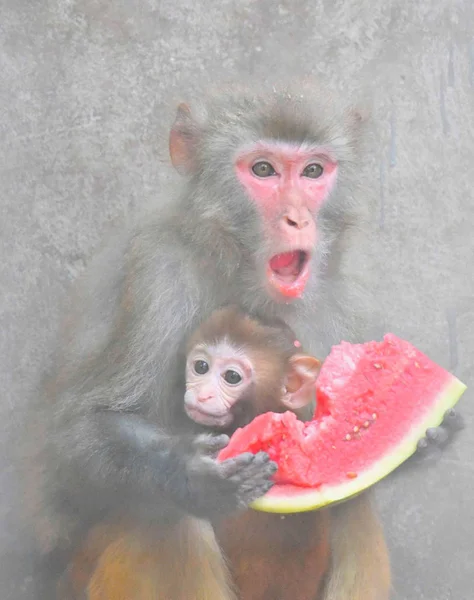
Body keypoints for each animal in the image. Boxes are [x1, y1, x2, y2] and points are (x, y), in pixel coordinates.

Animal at [24, 81, 462, 600]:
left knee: (350, 508)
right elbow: (80, 435)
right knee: (165, 517)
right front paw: (186, 471)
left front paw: (430, 437)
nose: (297, 219)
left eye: (313, 171)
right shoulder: (159, 271)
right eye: (263, 170)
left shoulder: (348, 295)